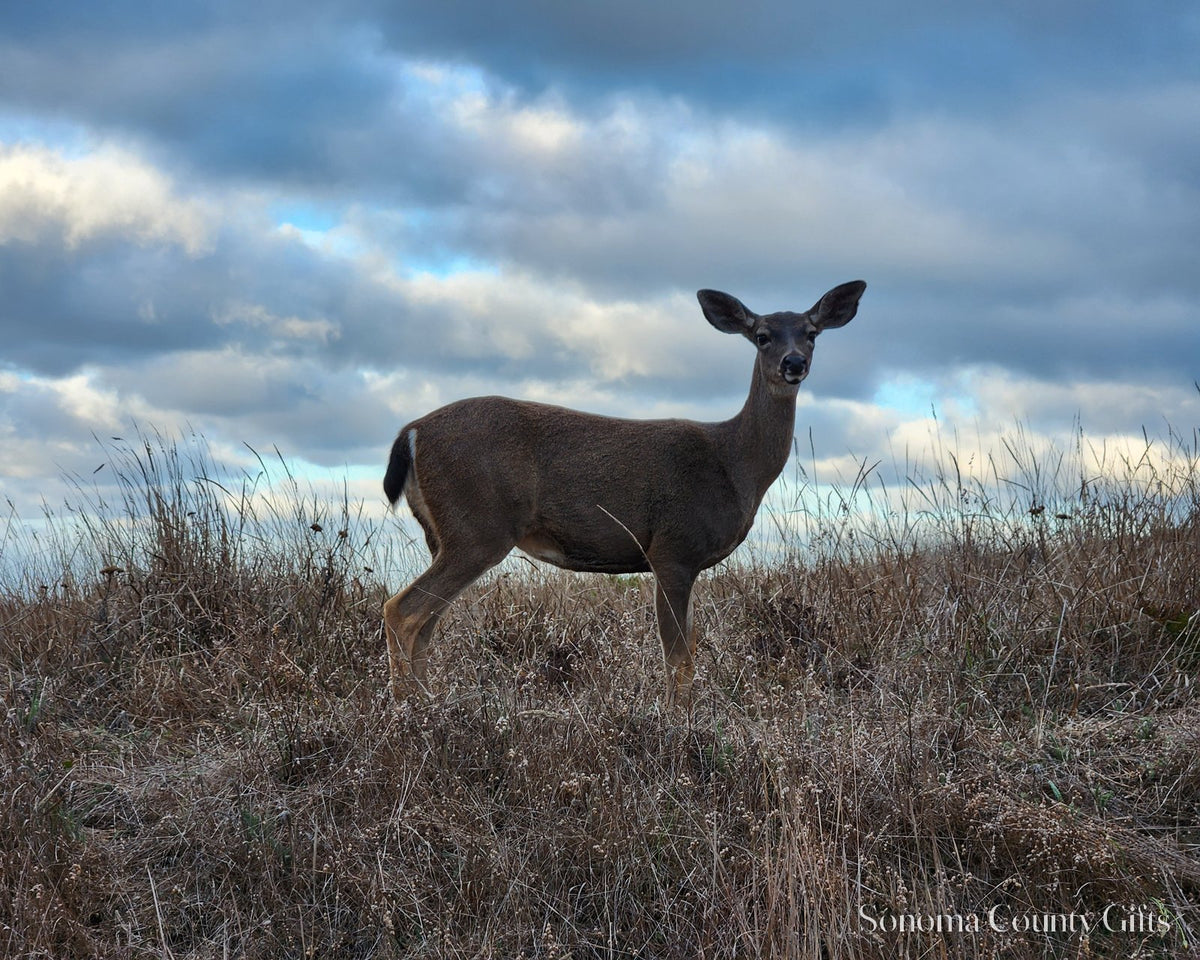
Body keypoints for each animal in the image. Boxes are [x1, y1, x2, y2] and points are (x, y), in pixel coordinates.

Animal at [382, 280, 866, 708]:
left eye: (812, 333)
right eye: (762, 336)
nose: (794, 362)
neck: (734, 465)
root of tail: (411, 432)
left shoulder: (686, 560)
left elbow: (690, 646)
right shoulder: (672, 548)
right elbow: (679, 658)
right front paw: (678, 726)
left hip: (442, 534)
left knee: (426, 622)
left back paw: (431, 704)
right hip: (477, 527)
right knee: (402, 609)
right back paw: (412, 712)